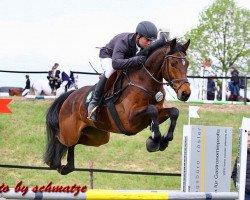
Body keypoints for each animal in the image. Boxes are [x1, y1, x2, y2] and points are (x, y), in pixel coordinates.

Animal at [43, 37, 191, 175]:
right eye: (173, 63)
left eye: (187, 64)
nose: (185, 93)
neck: (145, 81)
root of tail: (70, 96)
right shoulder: (130, 120)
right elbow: (152, 109)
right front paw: (154, 140)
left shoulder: (153, 116)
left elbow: (174, 112)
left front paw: (164, 140)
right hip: (70, 132)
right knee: (60, 138)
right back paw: (55, 163)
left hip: (98, 137)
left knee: (75, 142)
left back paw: (67, 166)